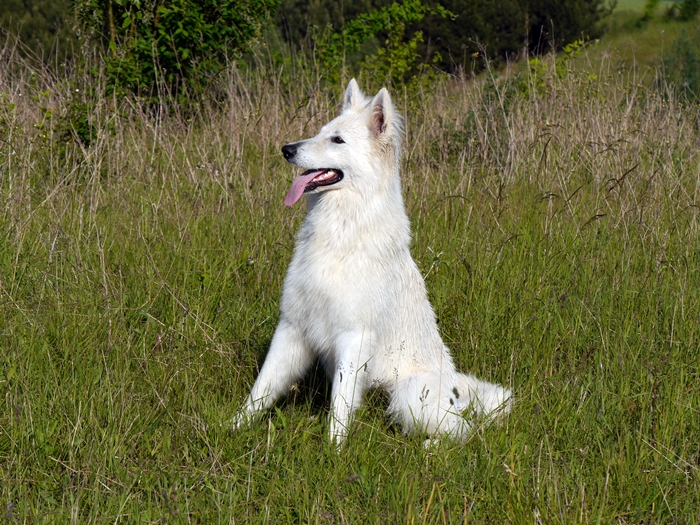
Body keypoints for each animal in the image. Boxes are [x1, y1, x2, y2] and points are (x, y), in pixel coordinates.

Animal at [235, 80, 508, 444]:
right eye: (319, 132)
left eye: (337, 140)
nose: (286, 149)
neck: (340, 229)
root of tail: (457, 388)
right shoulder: (292, 327)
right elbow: (261, 389)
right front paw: (229, 428)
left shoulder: (354, 336)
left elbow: (339, 405)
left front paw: (333, 450)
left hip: (410, 394)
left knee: (463, 430)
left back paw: (431, 447)